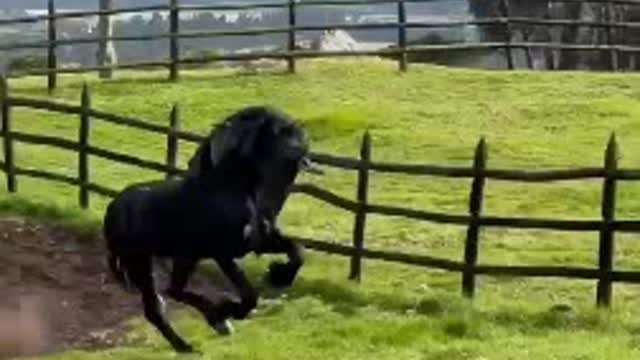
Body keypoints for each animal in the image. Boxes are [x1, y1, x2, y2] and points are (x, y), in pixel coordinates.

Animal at [102, 105, 320, 352]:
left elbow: (298, 251)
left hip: (181, 257)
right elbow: (249, 296)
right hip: (141, 260)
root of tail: (112, 208)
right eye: (279, 131)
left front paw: (279, 274)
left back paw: (201, 333)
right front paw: (228, 311)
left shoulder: (257, 244)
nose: (304, 155)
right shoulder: (222, 253)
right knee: (159, 305)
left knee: (172, 291)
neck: (227, 188)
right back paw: (193, 341)